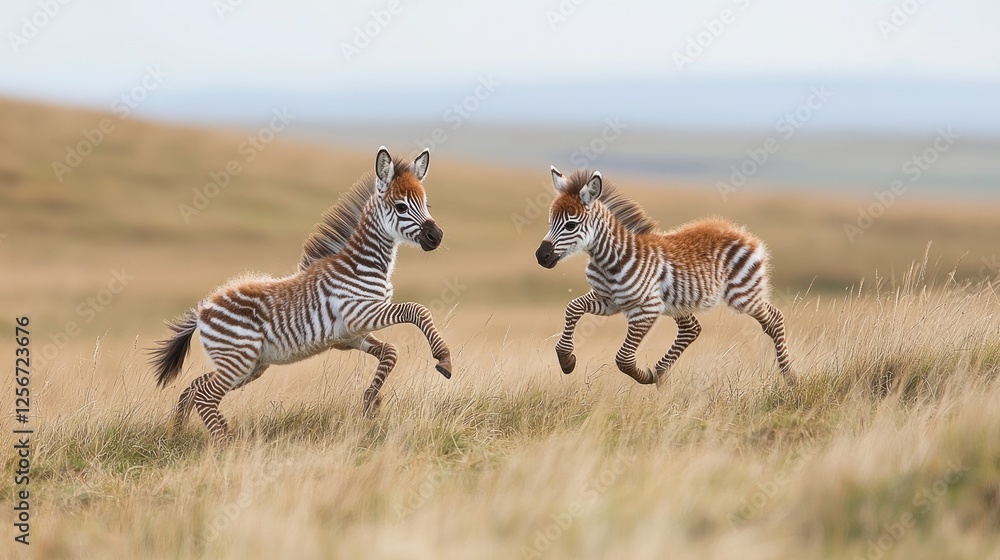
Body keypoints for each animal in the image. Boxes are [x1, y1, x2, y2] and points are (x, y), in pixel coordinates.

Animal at [150, 146, 453, 442]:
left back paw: (180, 434)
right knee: (205, 394)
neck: (361, 265)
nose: (436, 236)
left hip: (248, 365)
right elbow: (415, 309)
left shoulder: (351, 336)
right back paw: (224, 445)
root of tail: (201, 310)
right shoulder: (357, 314)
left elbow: (391, 351)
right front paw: (443, 358)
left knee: (195, 386)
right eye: (401, 207)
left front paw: (371, 401)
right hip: (239, 359)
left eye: (426, 205)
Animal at [534, 167, 795, 386]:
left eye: (570, 225)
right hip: (680, 303)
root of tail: (739, 231)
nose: (541, 256)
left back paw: (789, 377)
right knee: (692, 329)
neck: (609, 260)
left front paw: (644, 376)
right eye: (550, 222)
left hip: (743, 294)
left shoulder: (647, 309)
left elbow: (623, 358)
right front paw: (566, 360)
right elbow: (573, 307)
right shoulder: (608, 301)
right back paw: (660, 373)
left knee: (774, 319)